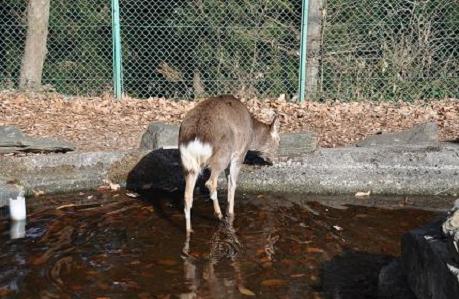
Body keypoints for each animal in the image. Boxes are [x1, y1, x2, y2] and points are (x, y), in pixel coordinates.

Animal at [179, 96, 280, 234]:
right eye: (279, 141)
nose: (273, 161)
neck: (252, 133)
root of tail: (196, 136)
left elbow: (228, 181)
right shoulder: (239, 154)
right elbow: (233, 183)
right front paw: (231, 213)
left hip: (189, 164)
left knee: (187, 195)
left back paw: (189, 229)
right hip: (222, 156)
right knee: (210, 182)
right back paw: (219, 214)